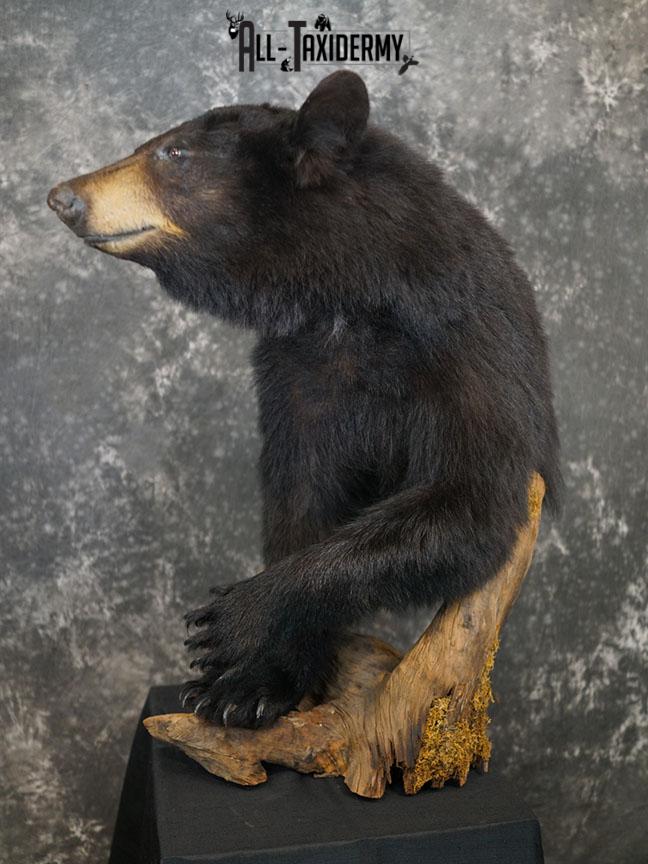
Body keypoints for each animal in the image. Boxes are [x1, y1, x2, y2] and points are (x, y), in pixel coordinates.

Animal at [48, 70, 561, 729]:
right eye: (155, 145)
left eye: (174, 153)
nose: (63, 196)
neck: (352, 298)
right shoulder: (296, 369)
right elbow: (301, 490)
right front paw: (253, 683)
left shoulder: (467, 355)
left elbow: (469, 501)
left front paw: (241, 621)